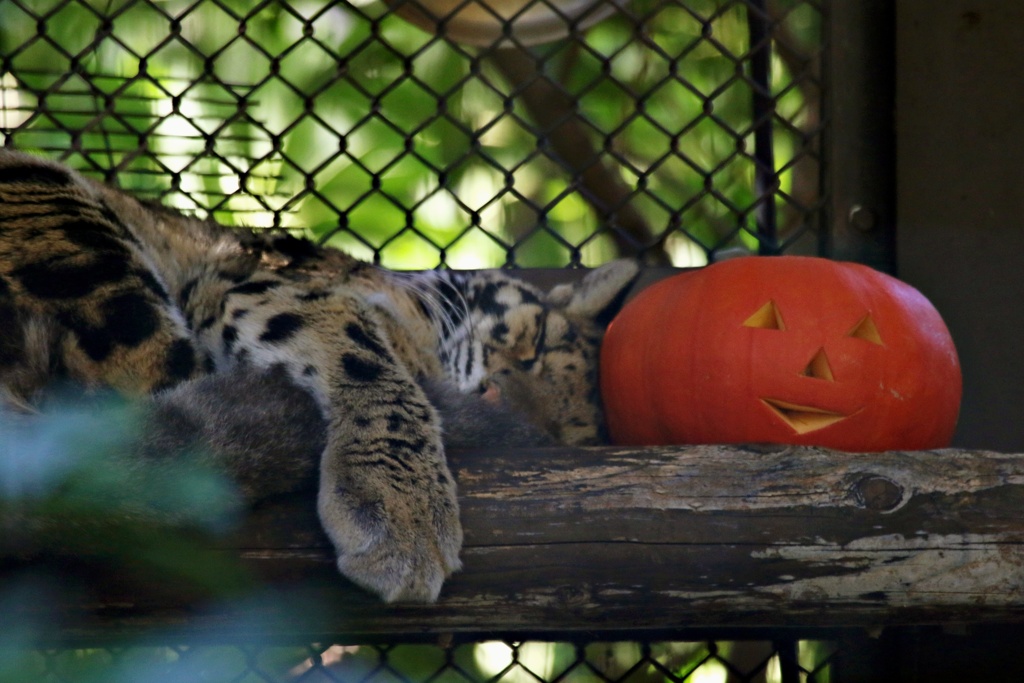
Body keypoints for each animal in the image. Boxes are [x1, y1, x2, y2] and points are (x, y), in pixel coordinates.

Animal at [0, 148, 638, 602]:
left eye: (559, 434)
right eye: (534, 345)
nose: (495, 399)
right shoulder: (252, 280)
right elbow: (361, 345)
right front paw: (401, 514)